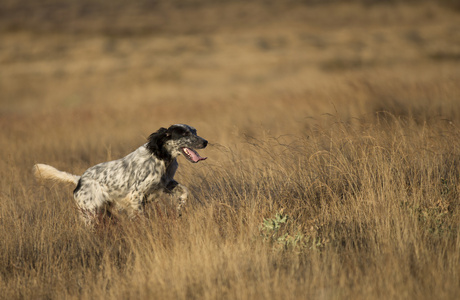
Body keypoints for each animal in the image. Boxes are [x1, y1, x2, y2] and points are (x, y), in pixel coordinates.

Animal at [33, 125, 208, 227]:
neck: (160, 156)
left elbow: (184, 191)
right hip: (90, 213)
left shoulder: (166, 183)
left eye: (195, 131)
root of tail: (79, 180)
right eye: (184, 133)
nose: (205, 142)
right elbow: (143, 219)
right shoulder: (136, 196)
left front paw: (179, 210)